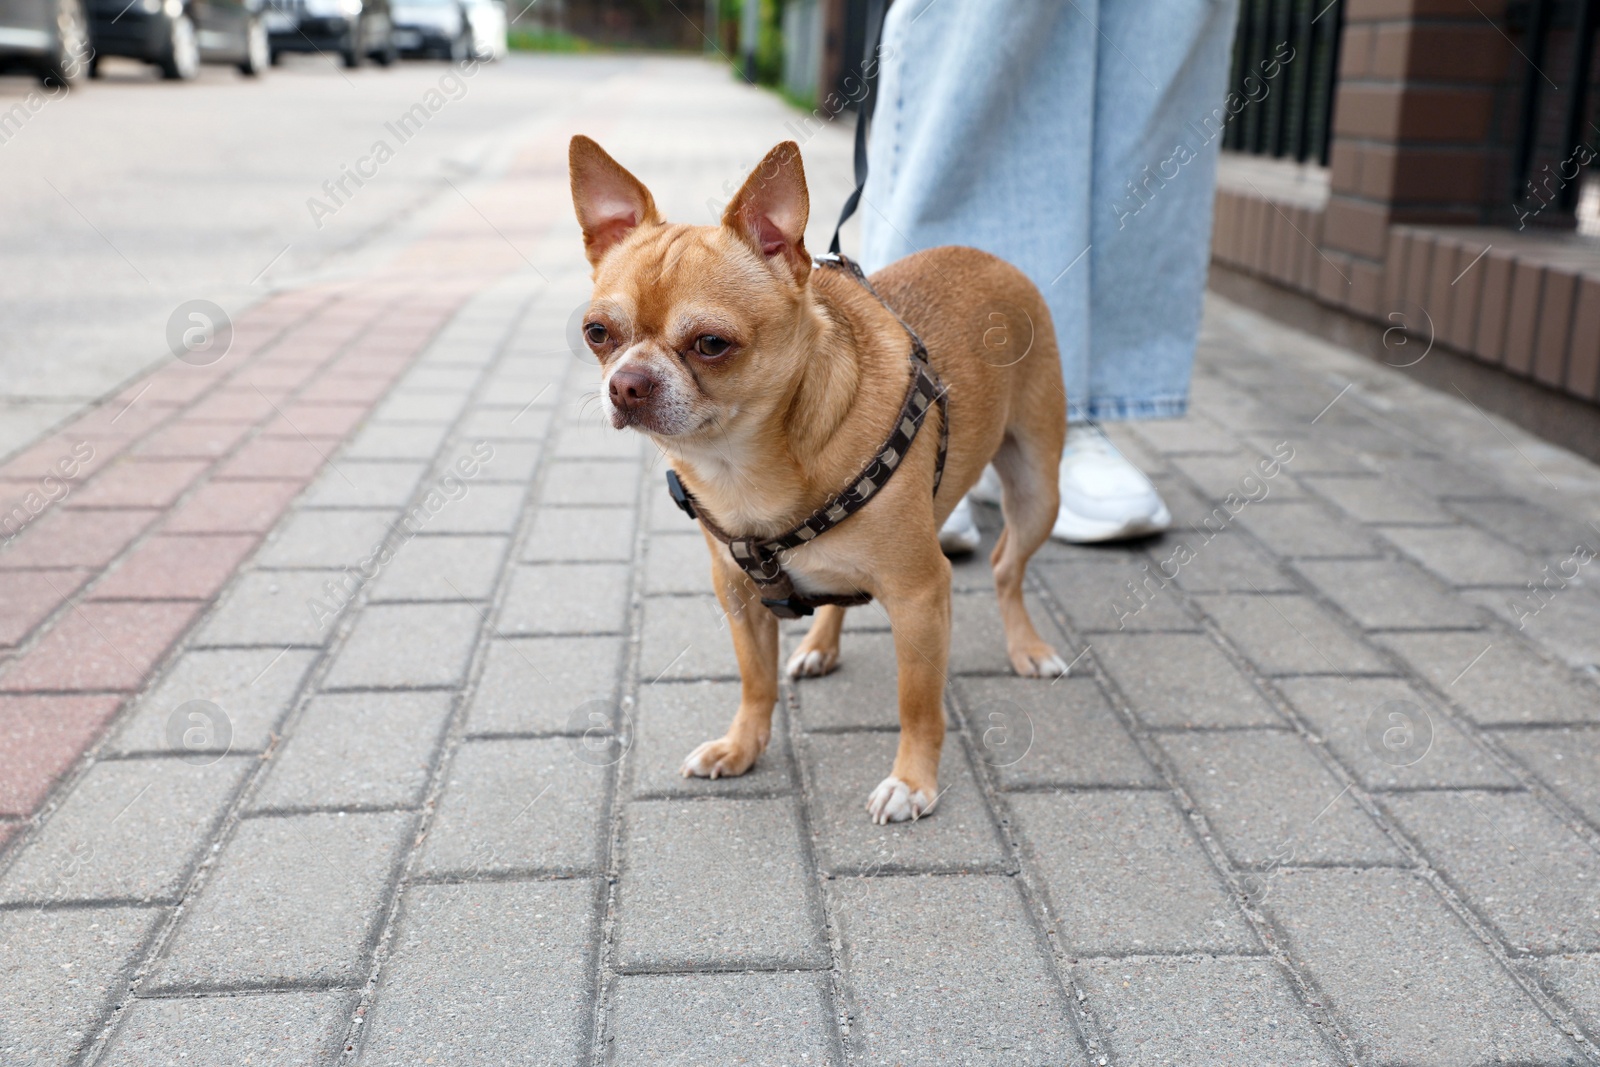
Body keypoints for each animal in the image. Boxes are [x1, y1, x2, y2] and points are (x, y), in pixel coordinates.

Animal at [569, 135, 1068, 825]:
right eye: (597, 334)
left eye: (711, 344)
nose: (626, 383)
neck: (744, 467)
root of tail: (988, 256)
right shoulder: (737, 592)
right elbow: (755, 682)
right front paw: (741, 747)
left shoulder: (919, 595)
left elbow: (918, 703)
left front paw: (913, 781)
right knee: (842, 594)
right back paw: (820, 645)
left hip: (1038, 487)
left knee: (1005, 567)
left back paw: (1027, 647)